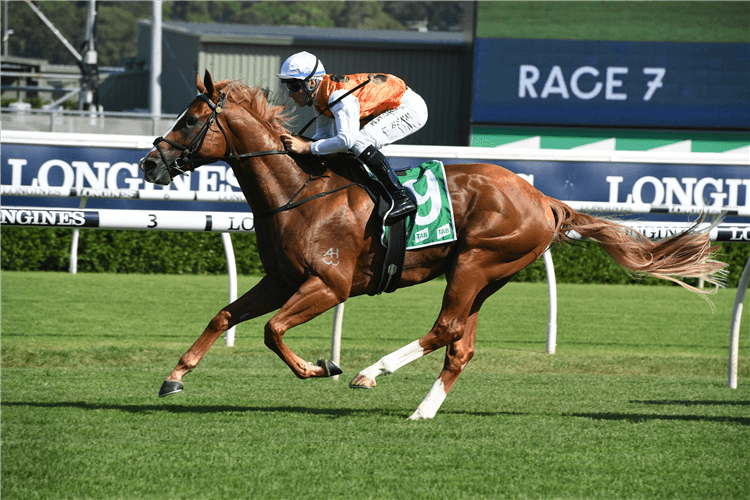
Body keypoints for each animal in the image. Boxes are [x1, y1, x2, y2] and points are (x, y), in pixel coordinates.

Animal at [141, 72, 728, 420]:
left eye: (192, 119)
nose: (149, 164)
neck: (299, 192)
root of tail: (543, 199)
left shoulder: (329, 285)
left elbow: (272, 330)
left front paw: (320, 367)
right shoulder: (281, 279)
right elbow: (224, 315)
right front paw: (173, 378)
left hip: (476, 262)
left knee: (445, 328)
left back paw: (369, 373)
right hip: (484, 277)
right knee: (459, 346)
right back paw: (423, 410)